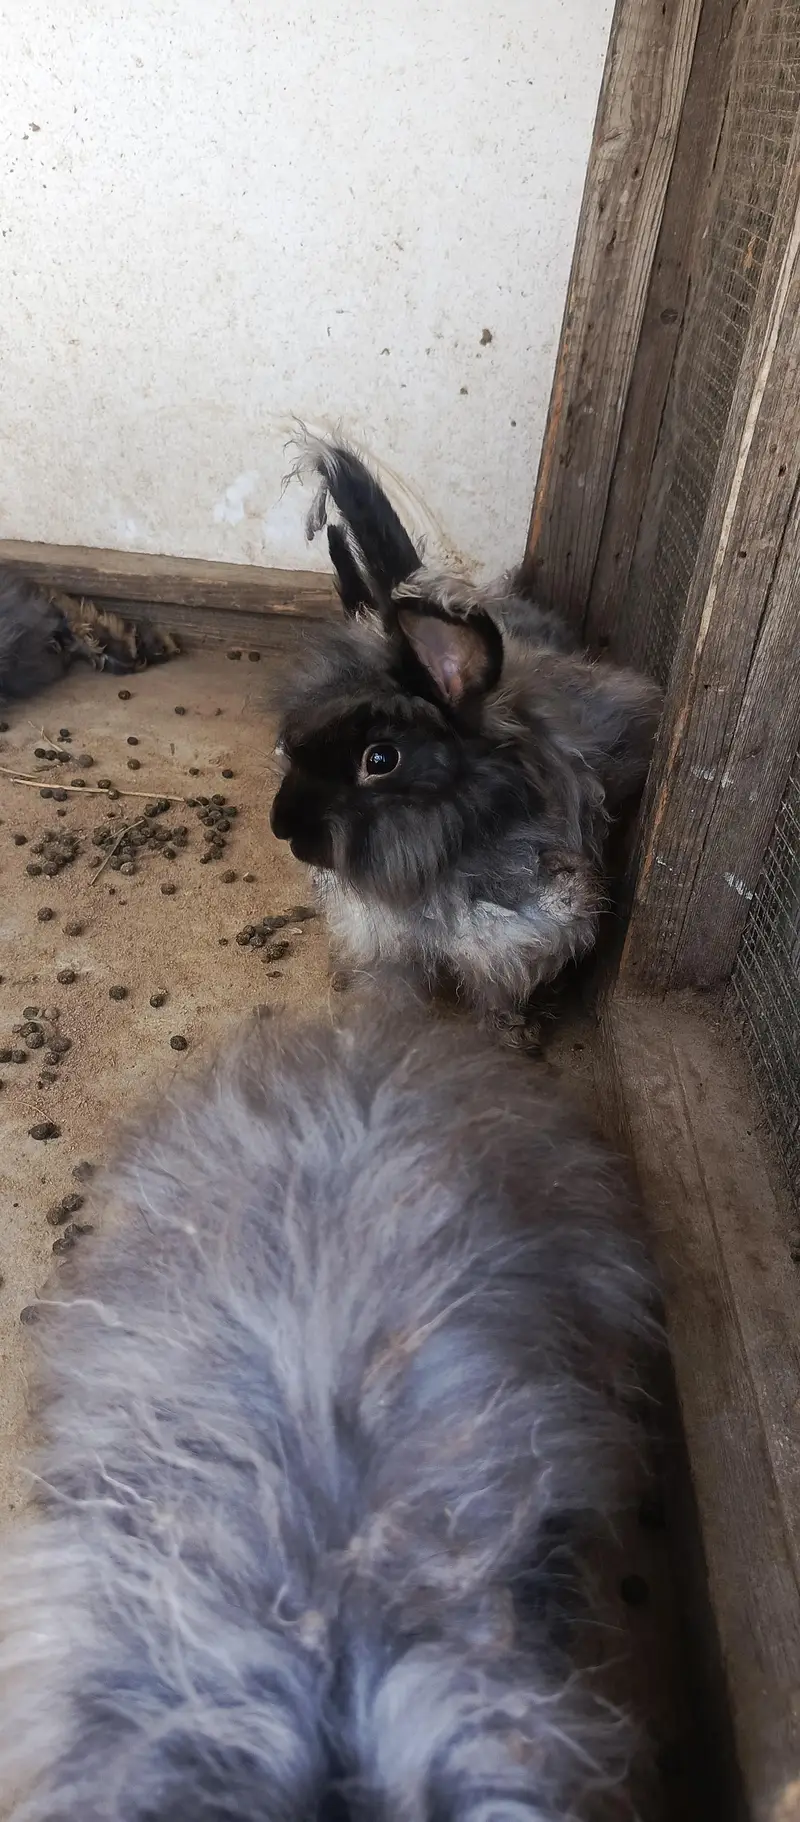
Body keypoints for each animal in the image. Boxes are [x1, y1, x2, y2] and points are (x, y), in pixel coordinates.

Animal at [270, 440, 661, 1040]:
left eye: (381, 759)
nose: (283, 829)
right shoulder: (385, 944)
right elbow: (389, 990)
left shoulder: (522, 936)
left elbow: (496, 1000)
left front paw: (507, 1039)